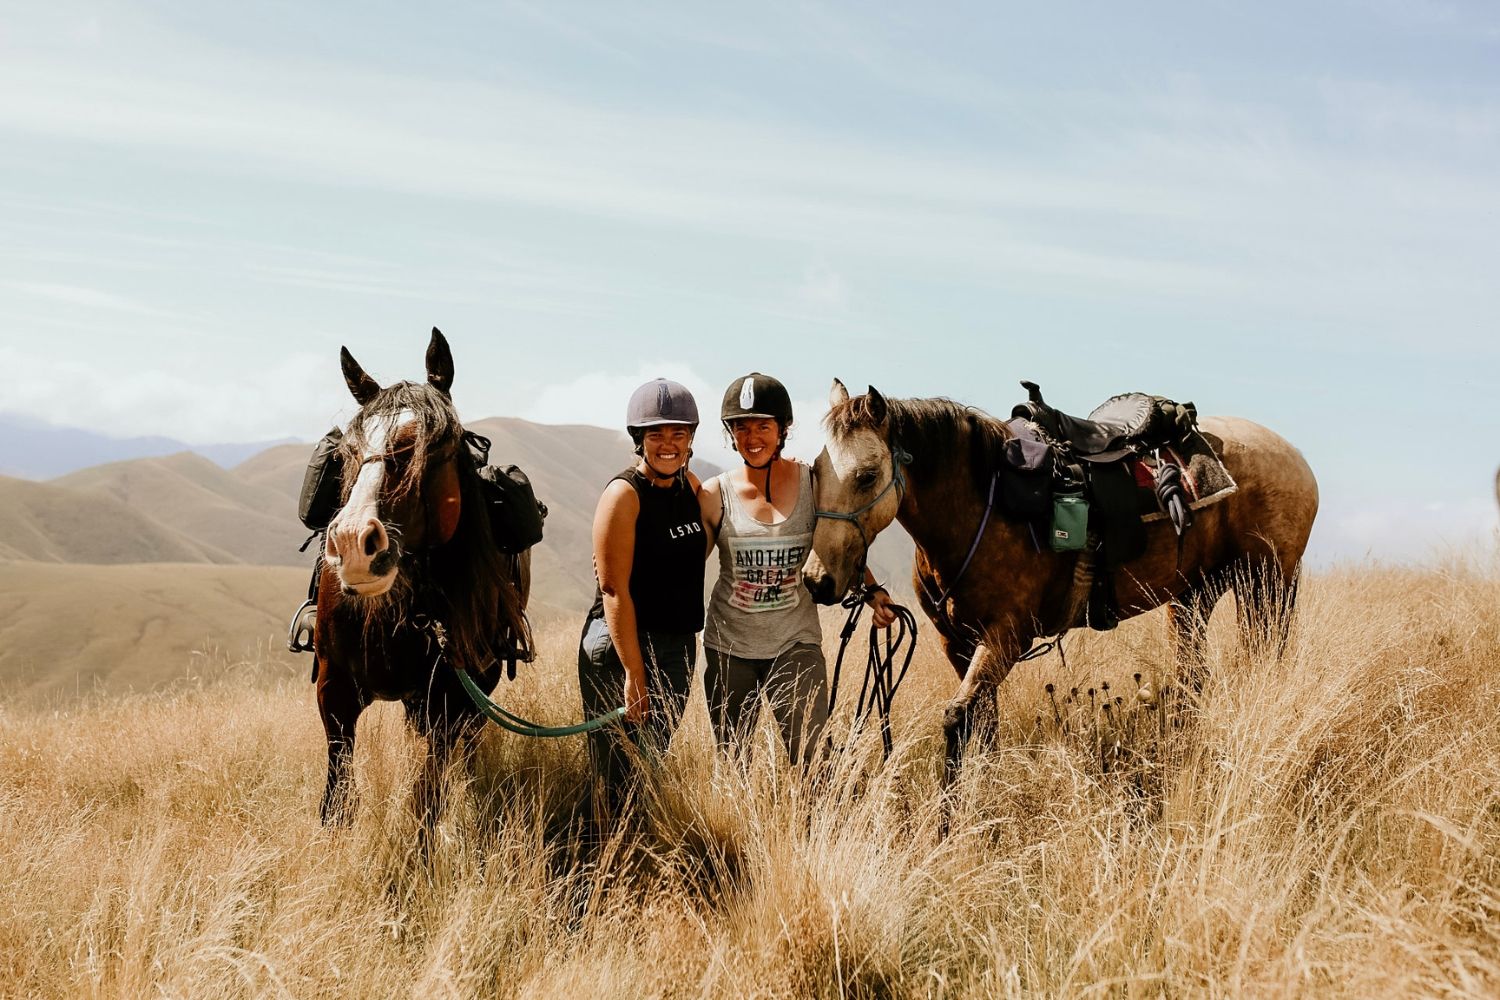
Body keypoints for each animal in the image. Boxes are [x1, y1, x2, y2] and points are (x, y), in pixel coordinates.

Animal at [314, 328, 530, 827]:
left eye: (431, 446)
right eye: (346, 451)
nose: (352, 543)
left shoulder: (450, 700)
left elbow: (425, 800)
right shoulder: (334, 691)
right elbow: (337, 797)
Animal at [803, 380, 1318, 780]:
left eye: (867, 475)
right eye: (815, 470)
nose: (817, 581)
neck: (980, 504)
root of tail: (1295, 457)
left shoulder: (1006, 637)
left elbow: (956, 720)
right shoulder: (957, 642)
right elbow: (982, 726)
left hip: (1267, 584)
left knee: (1264, 659)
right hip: (1193, 597)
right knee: (1192, 677)